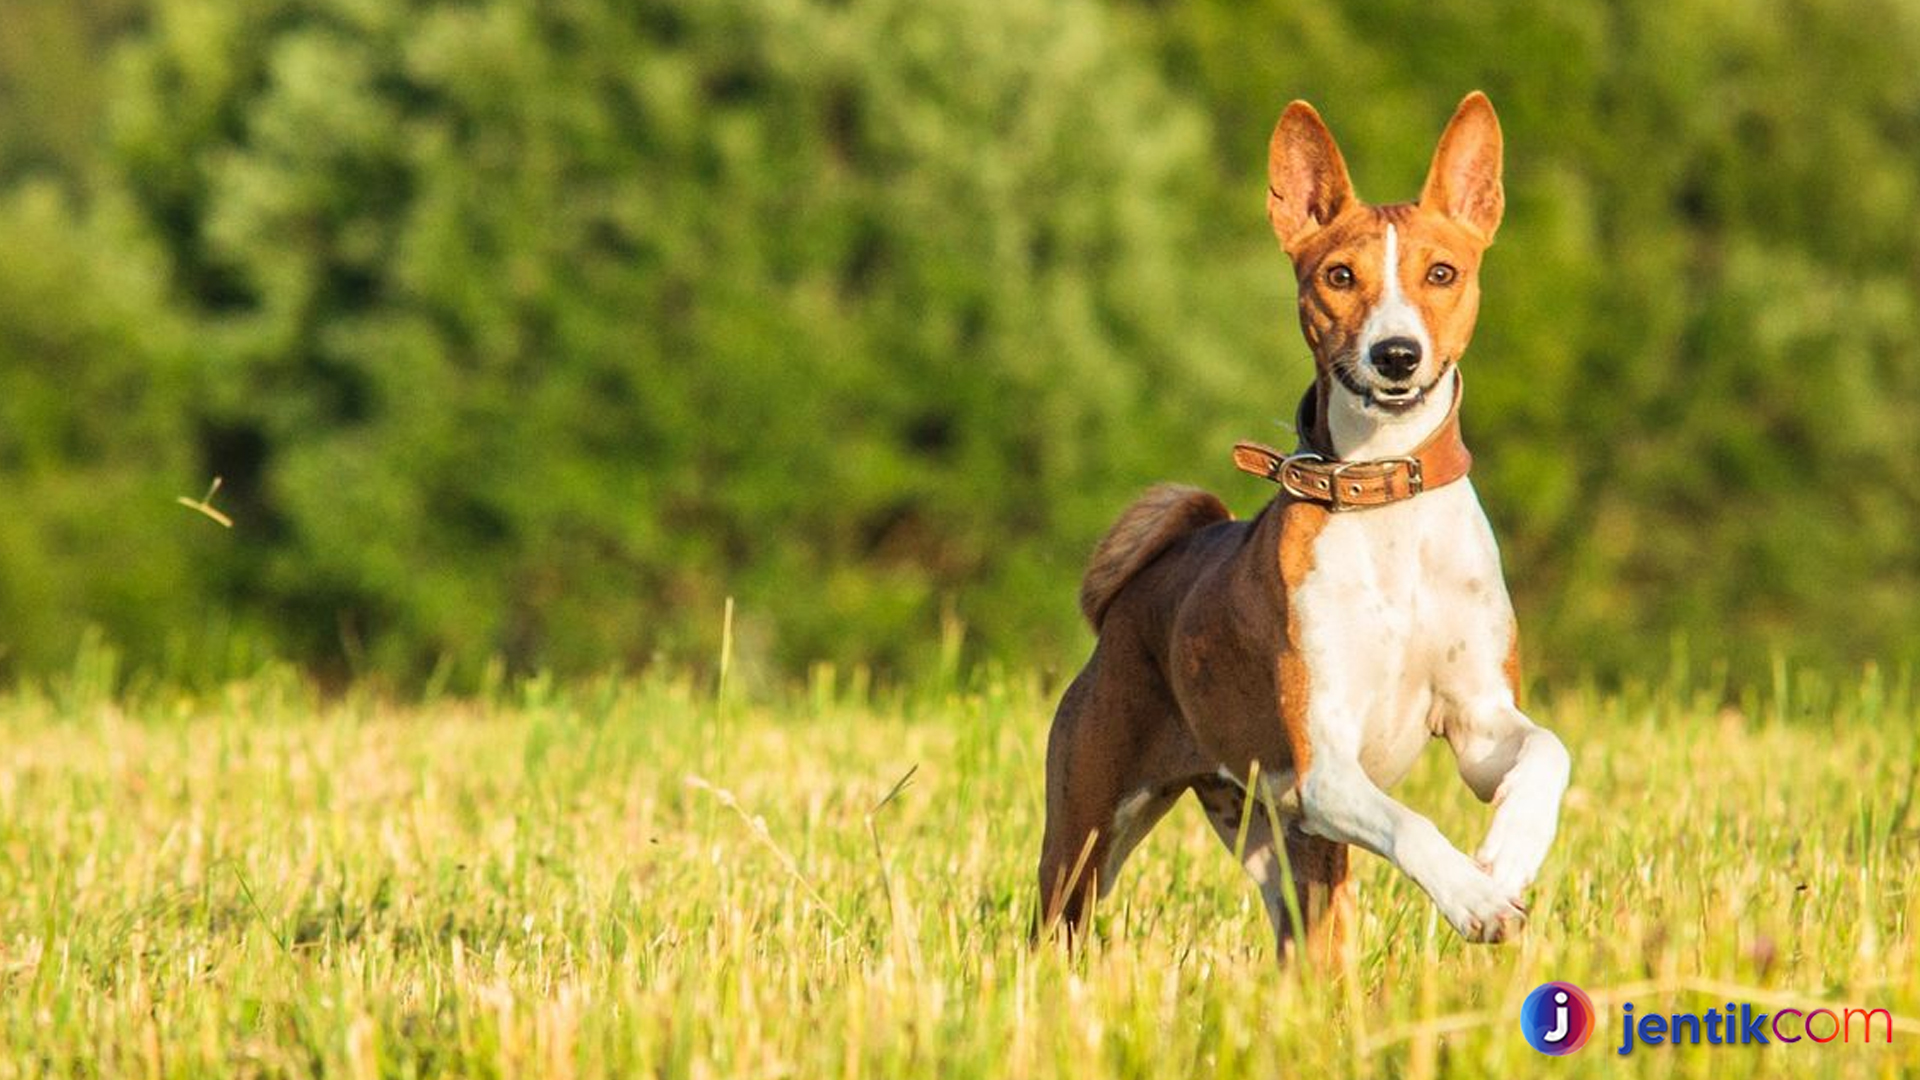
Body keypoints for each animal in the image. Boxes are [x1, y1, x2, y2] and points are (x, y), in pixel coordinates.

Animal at [1044, 88, 1566, 953]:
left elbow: (1548, 752)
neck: (1386, 500)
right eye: (1340, 276)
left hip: (1283, 852)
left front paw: (1508, 856)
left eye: (1443, 273)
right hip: (1090, 835)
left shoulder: (1480, 723)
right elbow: (1414, 824)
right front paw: (1473, 896)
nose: (1396, 354)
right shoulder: (1325, 767)